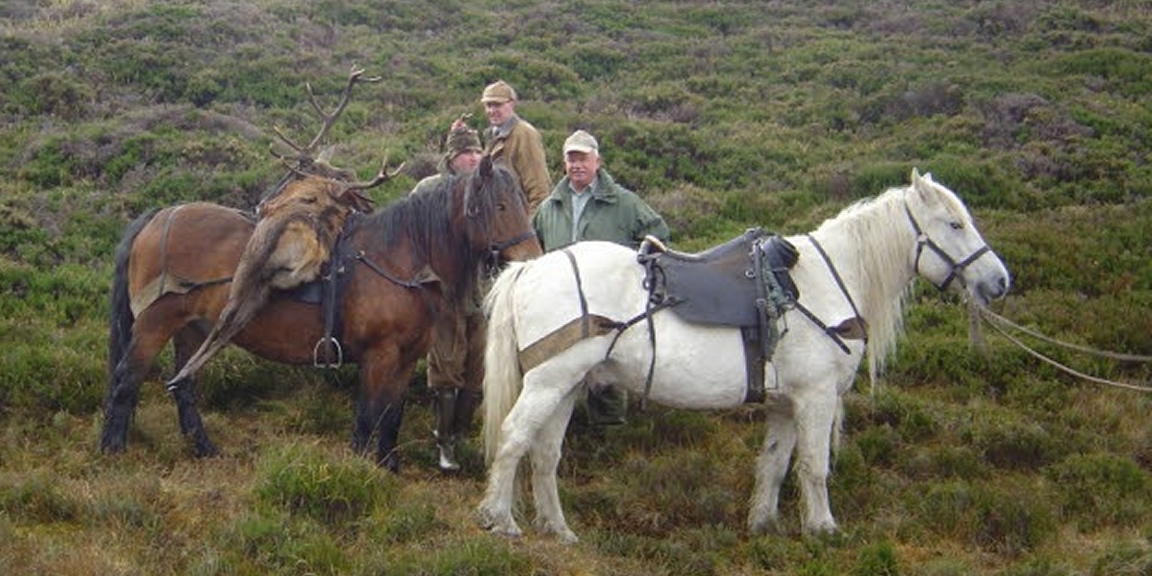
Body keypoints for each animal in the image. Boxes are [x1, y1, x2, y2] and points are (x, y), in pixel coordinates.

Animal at [101, 155, 541, 470]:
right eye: (500, 205)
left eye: (523, 201)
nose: (531, 258)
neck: (401, 258)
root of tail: (158, 216)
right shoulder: (378, 355)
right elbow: (368, 415)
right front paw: (361, 469)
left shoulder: (405, 358)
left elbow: (392, 415)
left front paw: (388, 466)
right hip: (155, 324)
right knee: (126, 379)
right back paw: (113, 450)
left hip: (193, 328)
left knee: (184, 385)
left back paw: (204, 448)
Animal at [476, 168, 1009, 541]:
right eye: (954, 223)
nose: (999, 281)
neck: (825, 281)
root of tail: (531, 268)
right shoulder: (816, 398)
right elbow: (815, 466)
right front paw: (823, 530)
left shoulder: (786, 404)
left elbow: (774, 464)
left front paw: (764, 523)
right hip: (547, 382)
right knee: (514, 436)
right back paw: (499, 519)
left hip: (565, 385)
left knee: (545, 453)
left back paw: (558, 528)